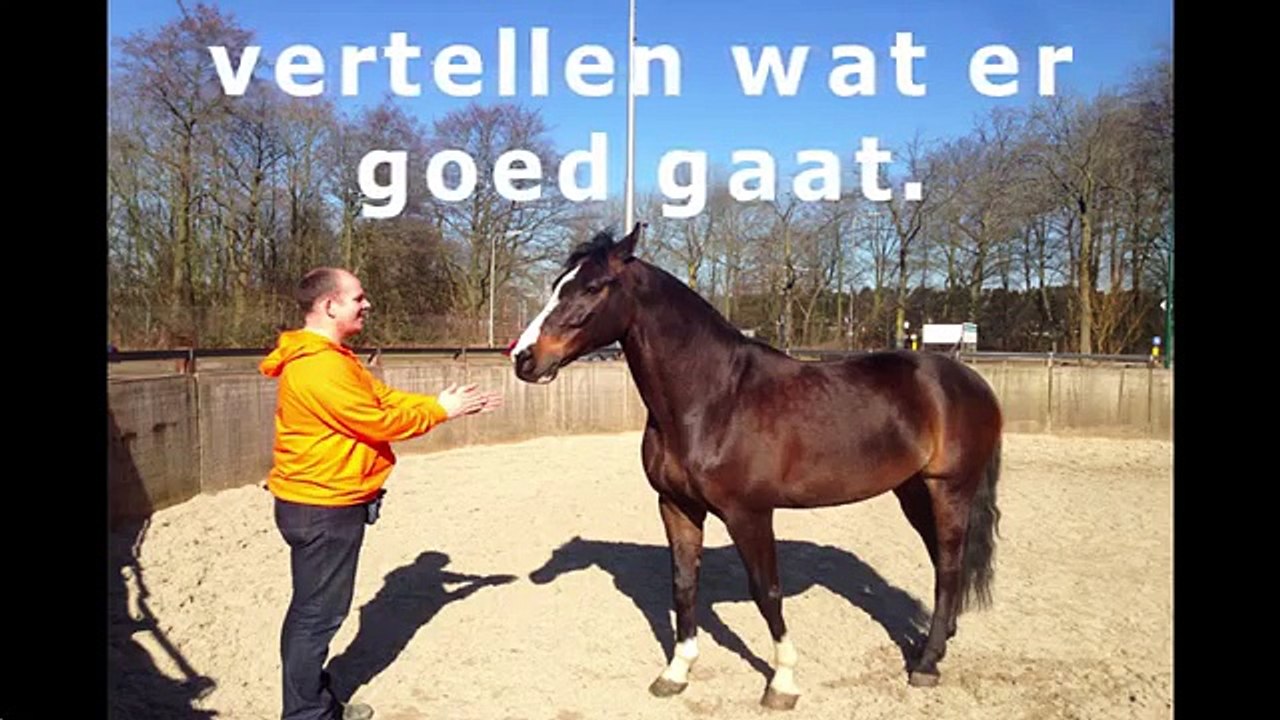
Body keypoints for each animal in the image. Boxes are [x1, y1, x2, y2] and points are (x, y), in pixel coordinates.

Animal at [510, 222, 1004, 710]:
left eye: (592, 287)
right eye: (557, 285)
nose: (524, 358)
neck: (714, 399)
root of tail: (969, 379)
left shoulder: (749, 513)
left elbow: (767, 591)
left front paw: (782, 682)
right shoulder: (676, 506)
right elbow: (683, 585)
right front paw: (676, 672)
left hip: (949, 488)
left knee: (949, 567)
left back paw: (927, 664)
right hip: (913, 490)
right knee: (942, 561)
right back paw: (938, 642)